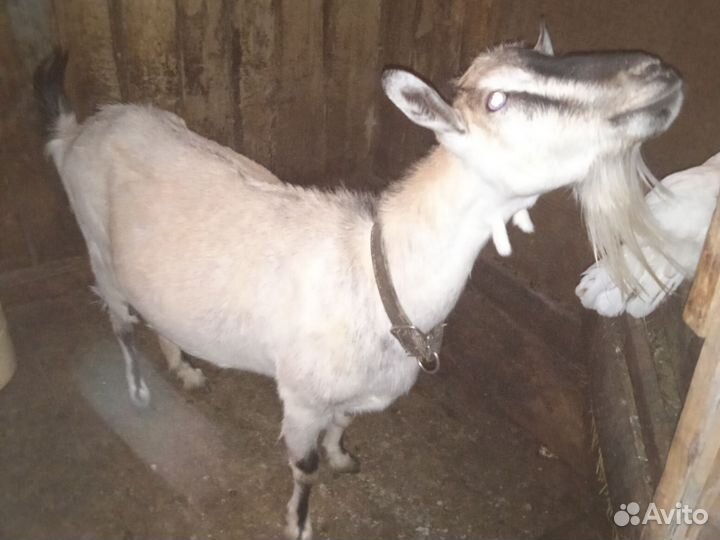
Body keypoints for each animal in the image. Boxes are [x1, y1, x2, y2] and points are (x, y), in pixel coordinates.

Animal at [35, 26, 683, 540]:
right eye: (498, 99)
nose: (659, 73)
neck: (375, 276)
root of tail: (76, 133)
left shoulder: (359, 393)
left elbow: (344, 427)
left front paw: (344, 457)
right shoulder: (300, 397)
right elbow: (304, 468)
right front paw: (299, 524)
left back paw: (186, 369)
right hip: (97, 249)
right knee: (120, 323)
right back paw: (140, 391)